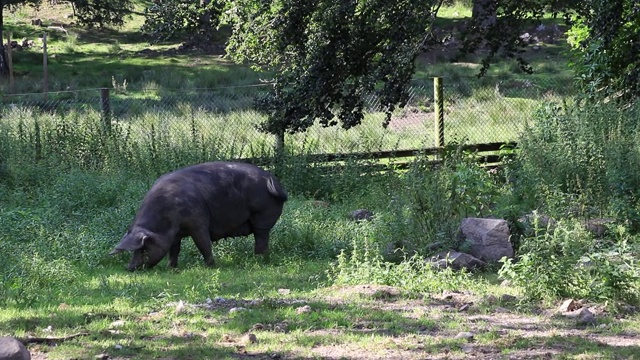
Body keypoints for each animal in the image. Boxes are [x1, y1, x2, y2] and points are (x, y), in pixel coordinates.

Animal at [110, 162, 288, 270]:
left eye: (144, 248)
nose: (129, 268)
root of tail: (272, 180)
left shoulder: (198, 224)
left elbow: (204, 244)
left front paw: (211, 266)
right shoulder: (175, 234)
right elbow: (174, 250)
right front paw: (171, 268)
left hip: (262, 215)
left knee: (261, 237)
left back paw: (259, 260)